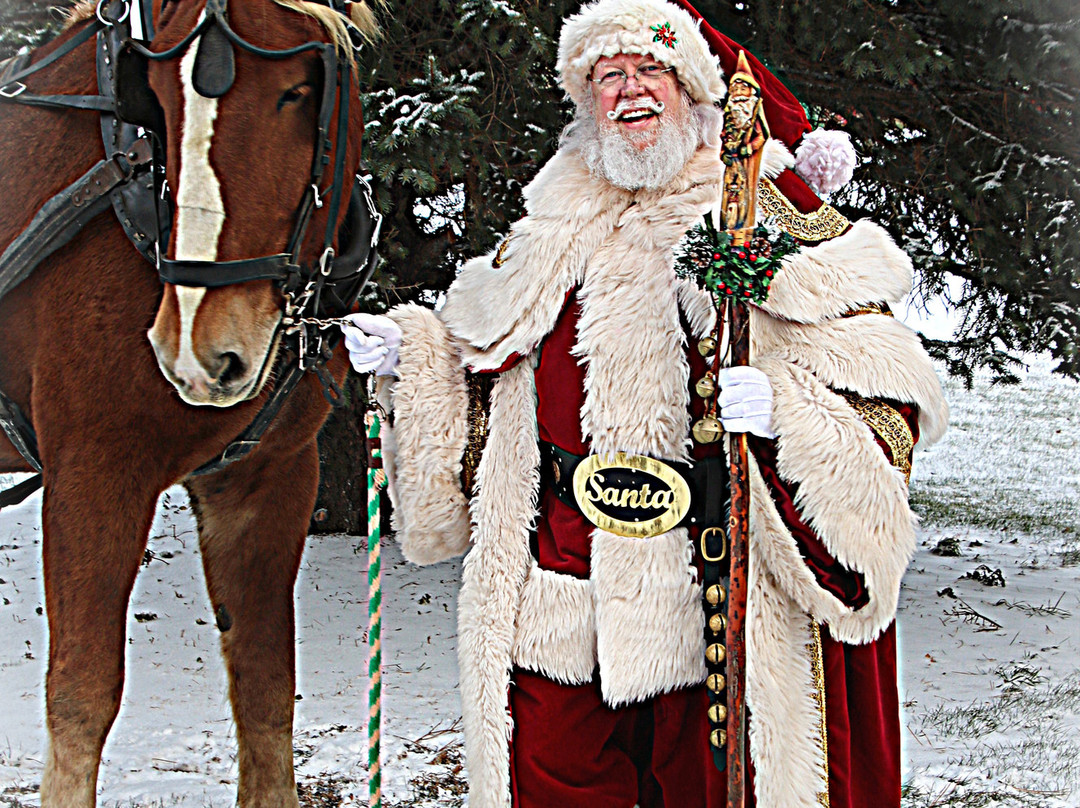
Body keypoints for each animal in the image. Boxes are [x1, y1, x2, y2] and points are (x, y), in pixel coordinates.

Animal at [0, 0, 375, 803]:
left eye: (298, 90)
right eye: (159, 99)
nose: (201, 354)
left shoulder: (264, 476)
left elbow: (265, 688)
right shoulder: (94, 476)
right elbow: (80, 699)